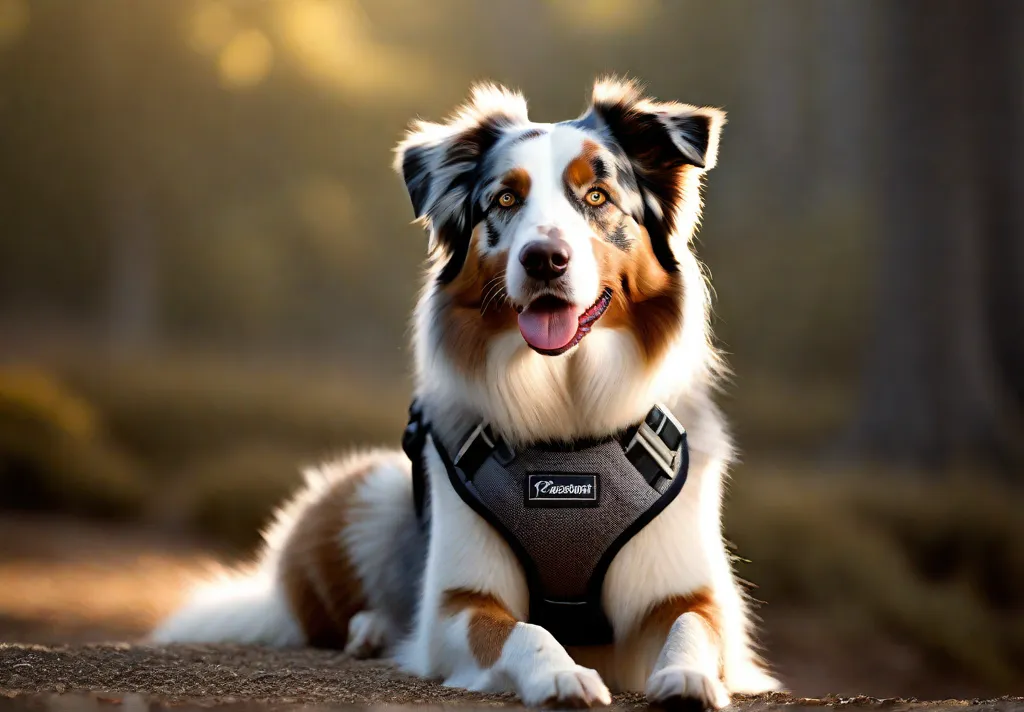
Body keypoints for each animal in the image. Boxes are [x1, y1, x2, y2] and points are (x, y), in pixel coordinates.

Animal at [149, 76, 774, 708]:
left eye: (597, 196)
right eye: (505, 201)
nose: (544, 259)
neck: (567, 421)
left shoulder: (686, 592)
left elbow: (694, 626)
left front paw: (690, 677)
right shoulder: (461, 602)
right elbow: (524, 632)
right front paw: (560, 675)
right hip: (372, 490)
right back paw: (374, 631)